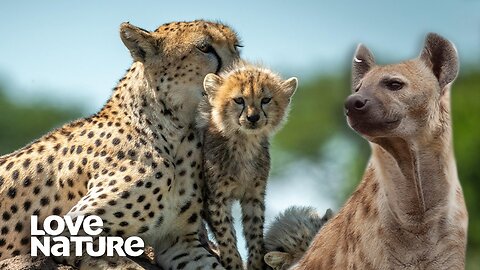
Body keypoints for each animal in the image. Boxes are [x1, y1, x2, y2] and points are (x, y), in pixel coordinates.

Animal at [0, 20, 240, 268]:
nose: (239, 74)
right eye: (204, 48)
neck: (177, 129)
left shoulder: (179, 242)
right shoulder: (65, 233)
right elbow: (127, 265)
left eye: (236, 46)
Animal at [198, 62, 296, 270]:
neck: (244, 143)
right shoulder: (216, 198)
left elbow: (255, 229)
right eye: (239, 100)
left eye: (266, 100)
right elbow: (225, 232)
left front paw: (256, 262)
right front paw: (233, 262)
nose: (253, 117)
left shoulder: (254, 195)